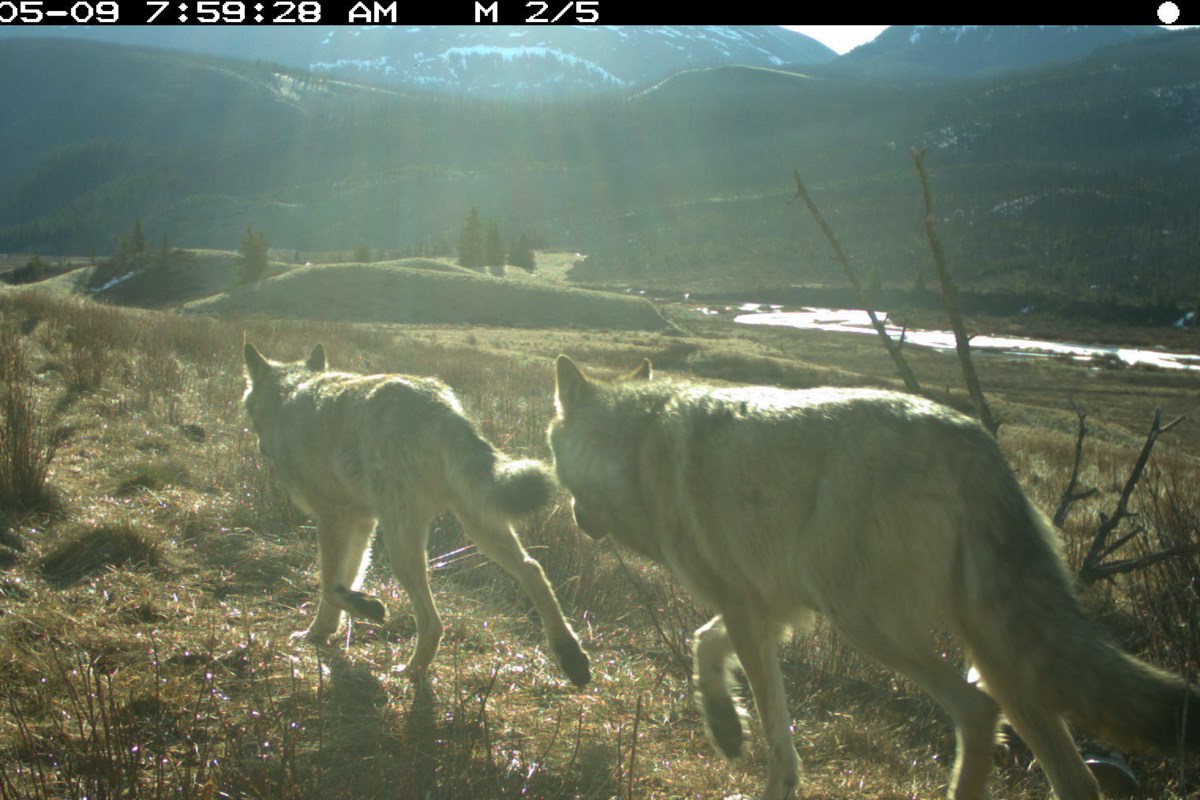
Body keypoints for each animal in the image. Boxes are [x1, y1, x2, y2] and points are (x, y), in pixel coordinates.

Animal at [242, 343, 589, 687]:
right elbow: (344, 581)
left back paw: (409, 671)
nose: (259, 447)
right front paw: (319, 633)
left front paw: (363, 608)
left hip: (403, 547)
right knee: (533, 569)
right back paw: (571, 656)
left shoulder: (332, 517)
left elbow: (328, 585)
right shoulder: (360, 522)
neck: (289, 395)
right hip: (478, 527)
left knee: (433, 621)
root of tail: (438, 405)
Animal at [548, 354, 1199, 800]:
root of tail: (976, 443)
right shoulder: (769, 608)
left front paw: (760, 766)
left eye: (552, 452)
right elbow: (704, 645)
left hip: (869, 626)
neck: (635, 448)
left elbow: (778, 738)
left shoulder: (748, 607)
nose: (574, 517)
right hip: (999, 655)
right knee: (1073, 776)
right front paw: (725, 728)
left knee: (974, 711)